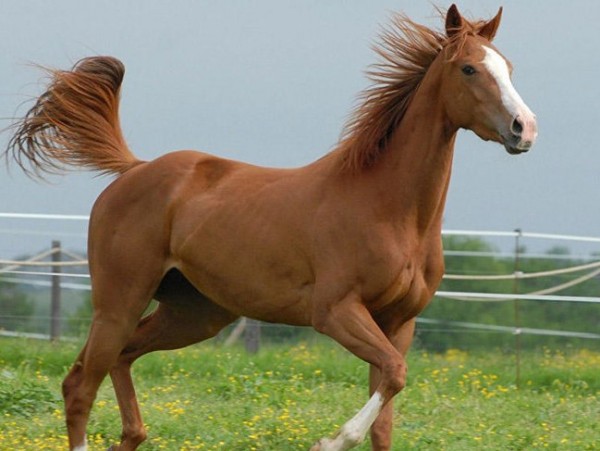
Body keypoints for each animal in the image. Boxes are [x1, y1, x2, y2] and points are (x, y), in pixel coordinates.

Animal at [4, 4, 536, 451]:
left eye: (508, 67)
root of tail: (134, 169)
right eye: (469, 68)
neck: (390, 210)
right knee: (79, 384)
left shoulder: (398, 323)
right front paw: (328, 441)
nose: (524, 128)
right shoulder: (335, 311)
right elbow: (394, 375)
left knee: (121, 363)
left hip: (193, 313)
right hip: (119, 301)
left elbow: (387, 409)